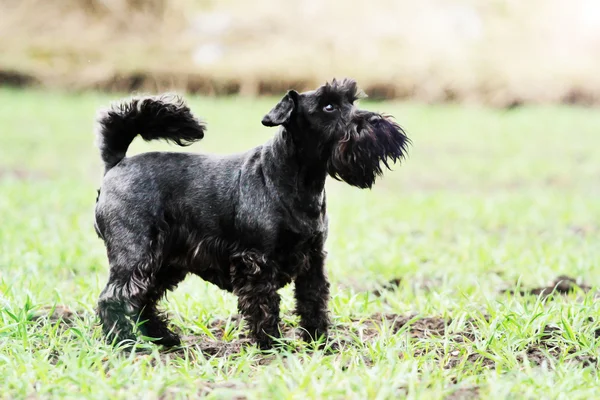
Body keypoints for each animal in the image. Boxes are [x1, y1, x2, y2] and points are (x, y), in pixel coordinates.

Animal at [95, 78, 408, 346]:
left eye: (352, 101)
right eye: (328, 106)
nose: (377, 121)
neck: (295, 179)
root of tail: (116, 164)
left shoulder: (313, 258)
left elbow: (313, 300)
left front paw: (319, 341)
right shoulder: (256, 261)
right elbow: (264, 304)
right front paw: (272, 344)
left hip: (163, 262)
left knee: (144, 299)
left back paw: (164, 338)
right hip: (135, 254)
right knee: (114, 298)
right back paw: (125, 343)